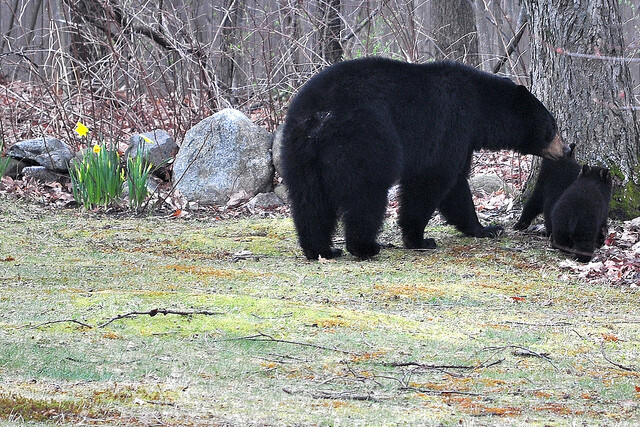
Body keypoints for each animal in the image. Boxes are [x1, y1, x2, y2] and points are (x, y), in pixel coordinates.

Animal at [280, 57, 570, 260]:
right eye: (552, 127)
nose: (566, 149)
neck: (479, 107)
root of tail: (319, 116)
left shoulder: (463, 138)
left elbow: (456, 187)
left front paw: (485, 228)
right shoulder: (450, 126)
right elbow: (435, 180)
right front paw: (419, 239)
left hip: (298, 152)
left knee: (309, 199)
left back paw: (321, 249)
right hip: (364, 138)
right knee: (366, 193)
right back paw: (365, 246)